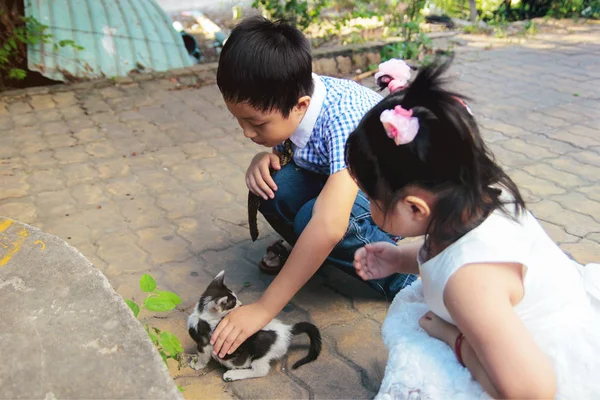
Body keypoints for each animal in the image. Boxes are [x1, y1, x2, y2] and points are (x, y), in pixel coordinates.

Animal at [188, 272, 322, 382]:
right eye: (234, 303)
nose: (241, 304)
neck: (202, 315)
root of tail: (286, 330)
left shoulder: (205, 343)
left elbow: (203, 356)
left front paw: (197, 364)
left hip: (260, 352)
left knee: (261, 371)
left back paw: (233, 375)